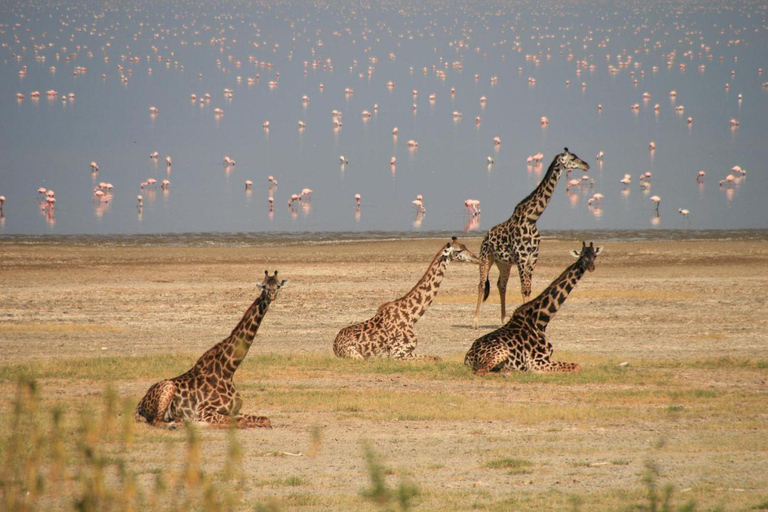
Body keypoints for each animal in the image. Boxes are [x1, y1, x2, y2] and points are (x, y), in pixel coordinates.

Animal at [135, 272, 288, 428]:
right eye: (264, 286)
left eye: (278, 285)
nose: (272, 295)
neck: (228, 370)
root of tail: (140, 403)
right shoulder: (202, 411)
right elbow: (240, 422)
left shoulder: (234, 410)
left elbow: (265, 419)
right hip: (168, 387)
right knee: (156, 420)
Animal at [332, 237, 476, 360]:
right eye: (459, 250)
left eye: (465, 246)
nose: (476, 258)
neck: (411, 317)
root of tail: (334, 346)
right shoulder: (397, 354)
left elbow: (437, 358)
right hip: (356, 356)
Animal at [464, 242, 604, 374]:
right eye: (582, 256)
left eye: (594, 256)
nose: (591, 267)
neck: (541, 320)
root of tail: (468, 357)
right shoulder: (536, 361)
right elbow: (577, 367)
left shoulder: (546, 358)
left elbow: (576, 366)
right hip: (500, 353)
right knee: (481, 372)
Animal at [472, 148, 592, 328]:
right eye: (572, 158)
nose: (586, 165)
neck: (531, 219)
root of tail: (485, 237)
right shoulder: (522, 258)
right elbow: (524, 289)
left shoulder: (533, 258)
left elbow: (529, 289)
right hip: (486, 257)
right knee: (481, 284)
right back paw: (475, 322)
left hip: (504, 263)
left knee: (501, 285)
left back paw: (503, 320)